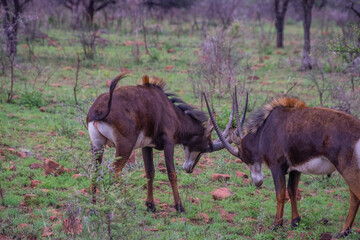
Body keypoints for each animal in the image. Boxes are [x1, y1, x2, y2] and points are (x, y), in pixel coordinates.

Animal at [86, 72, 231, 212]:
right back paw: (129, 204)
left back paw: (94, 207)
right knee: (114, 172)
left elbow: (150, 172)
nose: (189, 169)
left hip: (97, 145)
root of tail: (100, 109)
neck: (170, 110)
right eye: (206, 148)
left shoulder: (146, 146)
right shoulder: (169, 142)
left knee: (95, 172)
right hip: (125, 146)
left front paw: (150, 205)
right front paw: (179, 206)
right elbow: (172, 173)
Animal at [205, 93, 360, 237]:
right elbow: (292, 190)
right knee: (354, 197)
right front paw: (295, 222)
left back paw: (343, 231)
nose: (257, 182)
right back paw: (345, 231)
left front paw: (276, 225)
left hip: (347, 169)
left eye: (243, 157)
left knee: (355, 196)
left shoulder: (277, 167)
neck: (265, 129)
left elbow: (280, 194)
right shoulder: (295, 169)